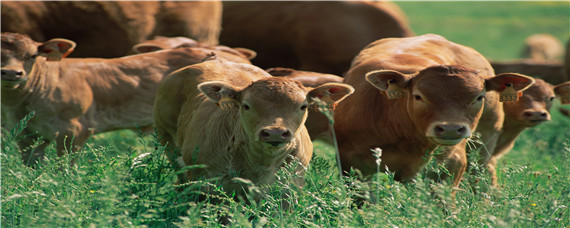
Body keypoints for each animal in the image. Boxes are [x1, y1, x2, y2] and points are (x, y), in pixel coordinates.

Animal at [332, 34, 532, 187]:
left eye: (479, 97)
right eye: (418, 96)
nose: (451, 129)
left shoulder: (452, 163)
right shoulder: (353, 164)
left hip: (484, 142)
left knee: (482, 174)